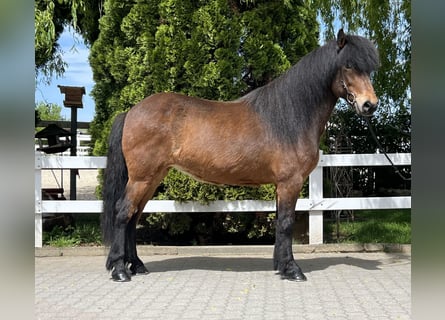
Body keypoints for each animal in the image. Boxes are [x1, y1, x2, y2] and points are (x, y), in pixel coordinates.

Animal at [100, 28, 378, 282]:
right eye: (349, 65)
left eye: (369, 69)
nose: (370, 105)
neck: (291, 115)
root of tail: (131, 111)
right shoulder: (290, 182)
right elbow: (286, 223)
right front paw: (292, 270)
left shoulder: (281, 185)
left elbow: (280, 222)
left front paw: (280, 265)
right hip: (141, 178)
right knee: (123, 212)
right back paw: (120, 270)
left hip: (153, 177)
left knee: (134, 216)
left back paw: (137, 265)